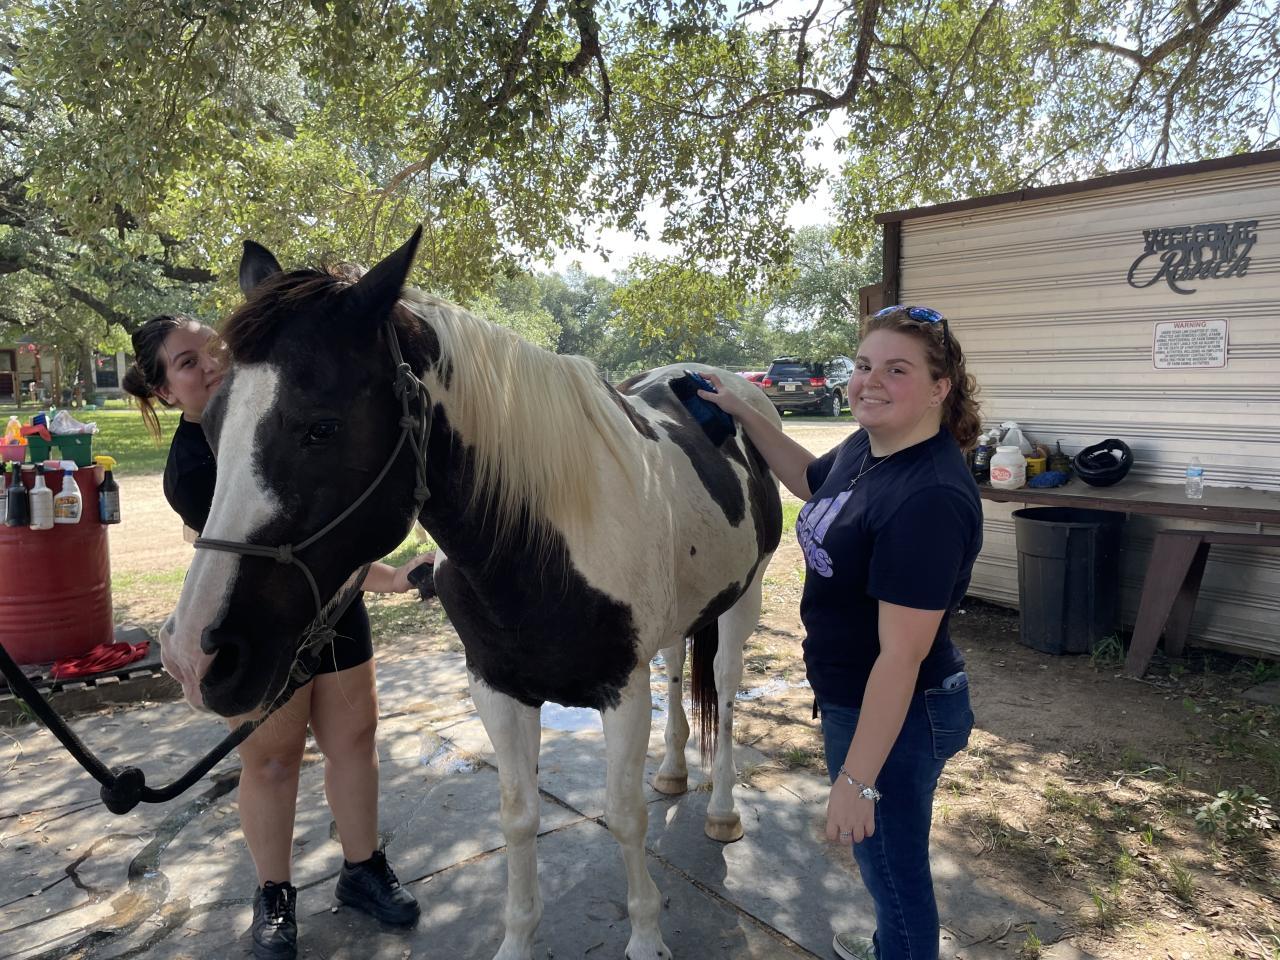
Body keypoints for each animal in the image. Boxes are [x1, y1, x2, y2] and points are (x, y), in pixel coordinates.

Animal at [159, 228, 783, 960]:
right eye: (209, 426)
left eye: (321, 426)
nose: (194, 655)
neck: (542, 542)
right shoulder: (496, 687)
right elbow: (517, 817)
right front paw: (517, 939)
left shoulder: (620, 693)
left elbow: (625, 817)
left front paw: (647, 937)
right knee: (679, 667)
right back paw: (674, 771)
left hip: (742, 603)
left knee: (727, 692)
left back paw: (721, 809)